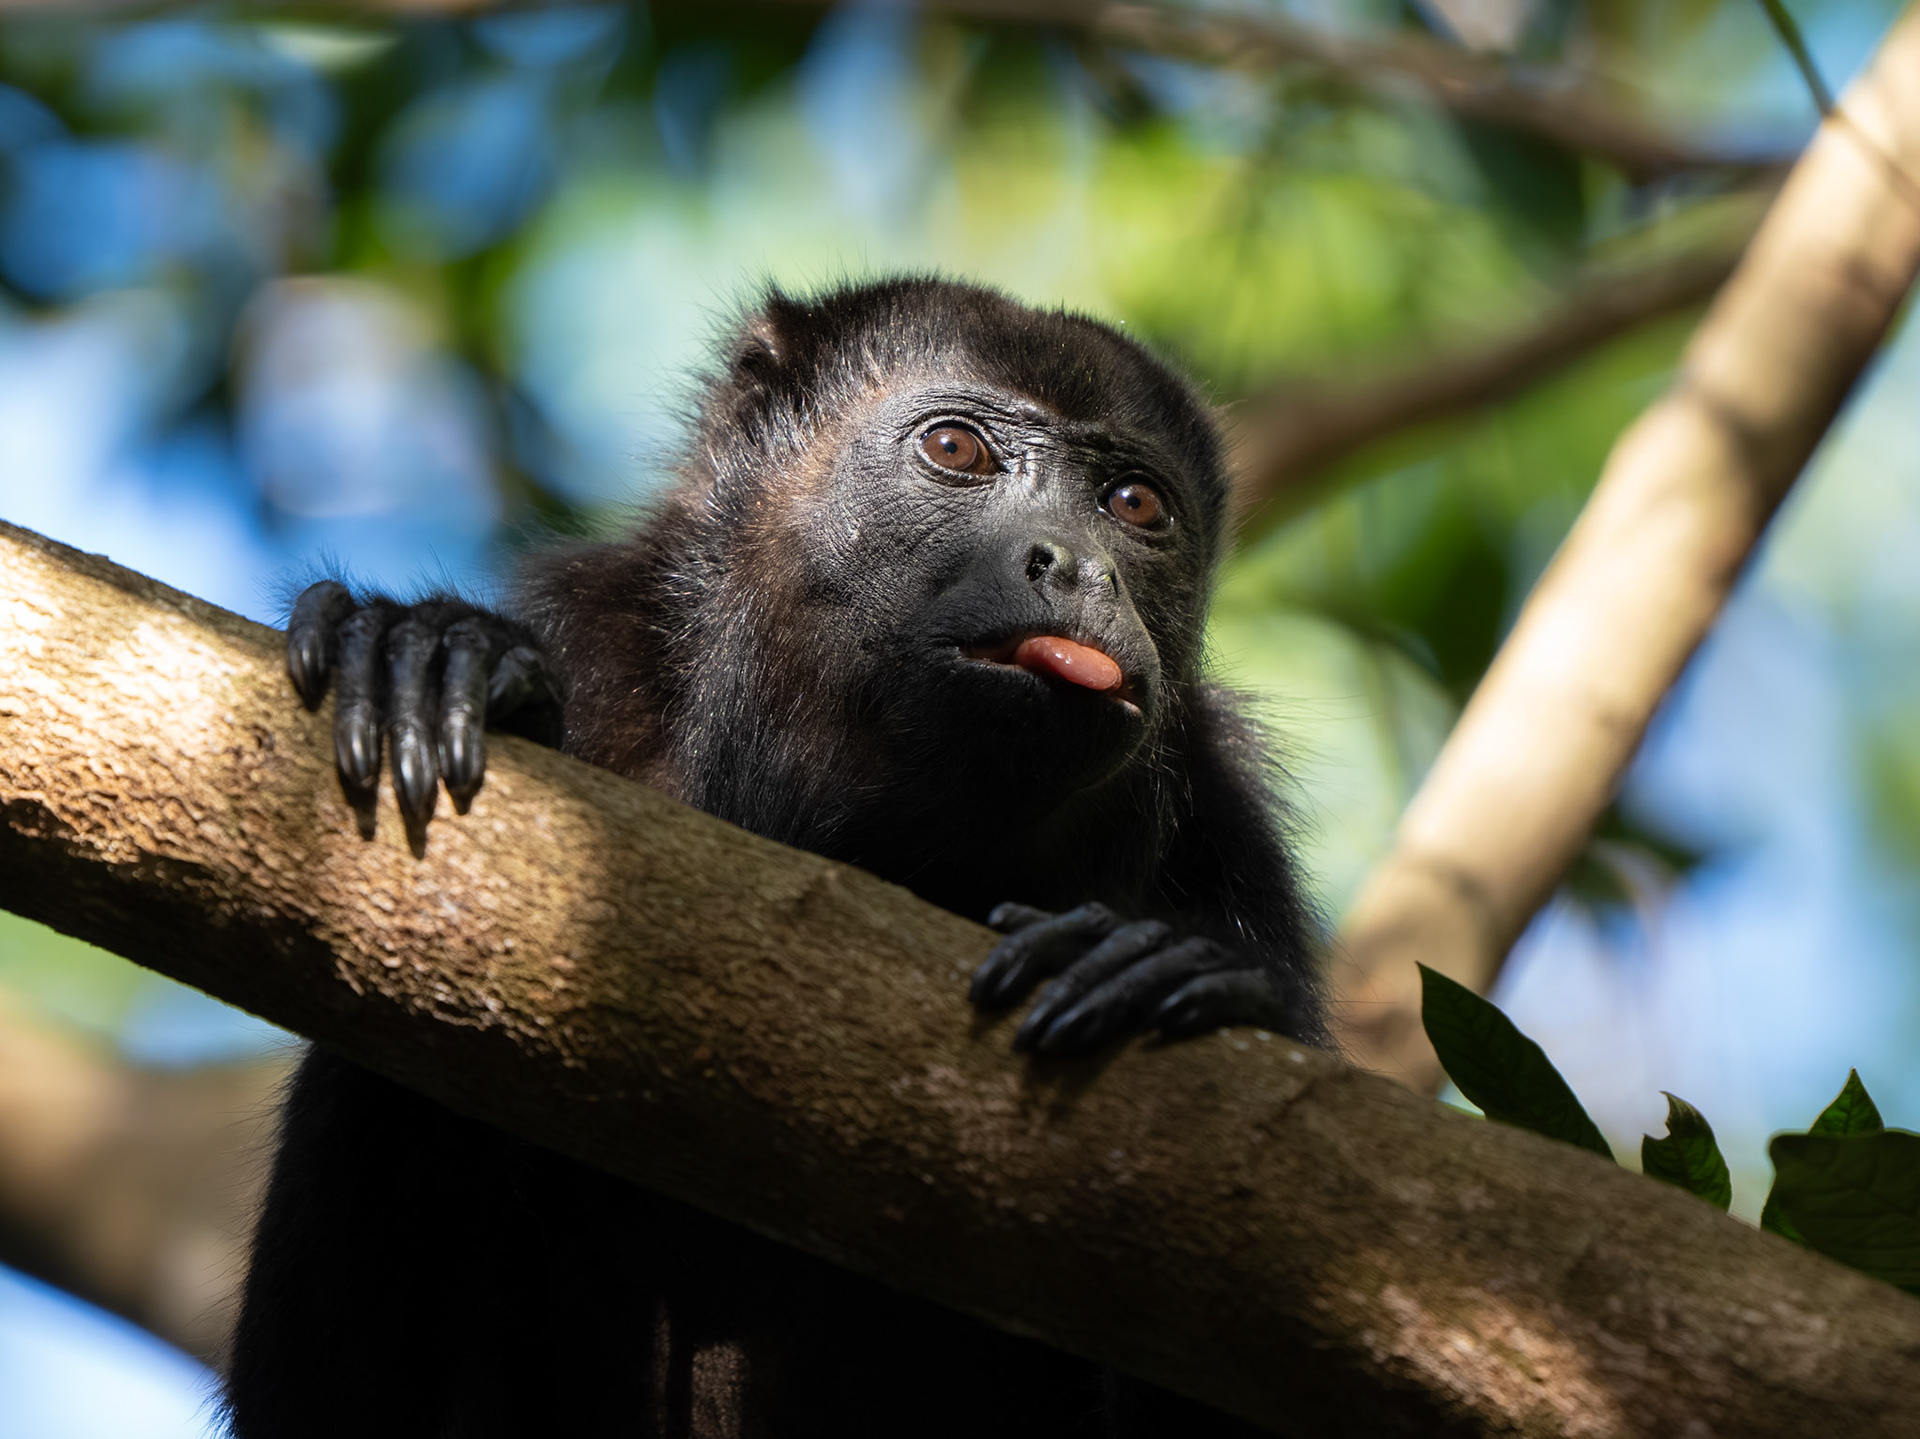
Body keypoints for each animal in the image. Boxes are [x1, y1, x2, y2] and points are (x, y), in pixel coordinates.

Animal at [224, 276, 1327, 1439]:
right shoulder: (594, 640)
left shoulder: (1224, 820)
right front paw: (435, 657)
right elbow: (323, 1394)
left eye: (1136, 506)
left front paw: (1182, 969)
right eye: (956, 448)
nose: (1076, 563)